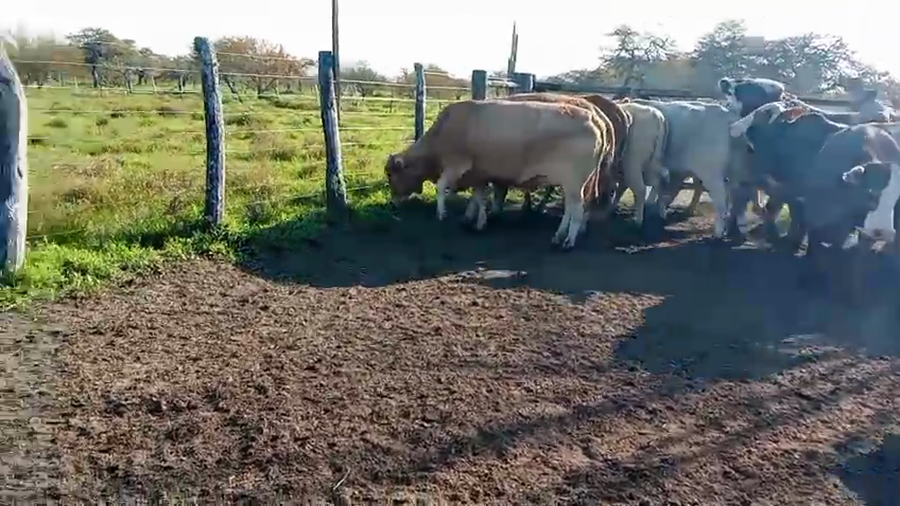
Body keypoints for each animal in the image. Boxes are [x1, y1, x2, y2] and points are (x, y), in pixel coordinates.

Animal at [384, 99, 612, 250]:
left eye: (391, 175)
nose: (393, 203)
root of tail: (593, 118)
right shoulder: (478, 174)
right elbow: (478, 197)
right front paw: (479, 222)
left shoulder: (457, 165)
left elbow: (441, 187)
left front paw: (442, 213)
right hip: (572, 184)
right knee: (570, 209)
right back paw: (559, 235)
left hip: (574, 182)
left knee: (577, 209)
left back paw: (568, 240)